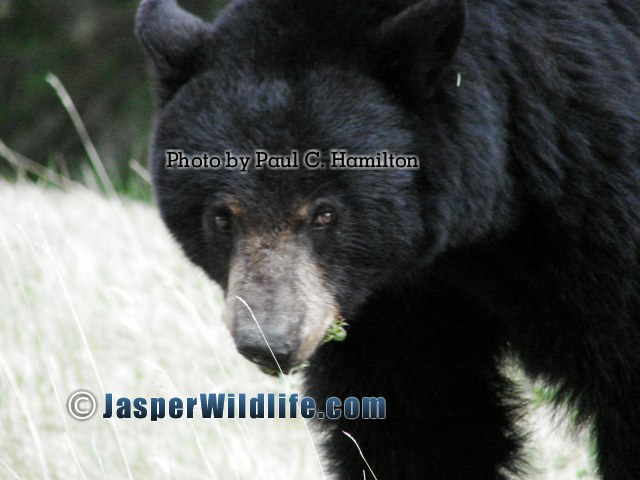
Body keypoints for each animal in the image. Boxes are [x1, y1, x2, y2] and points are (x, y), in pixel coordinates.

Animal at [136, 0, 640, 478]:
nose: (268, 343)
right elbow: (415, 417)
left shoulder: (596, 199)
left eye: (325, 213)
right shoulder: (390, 302)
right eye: (222, 218)